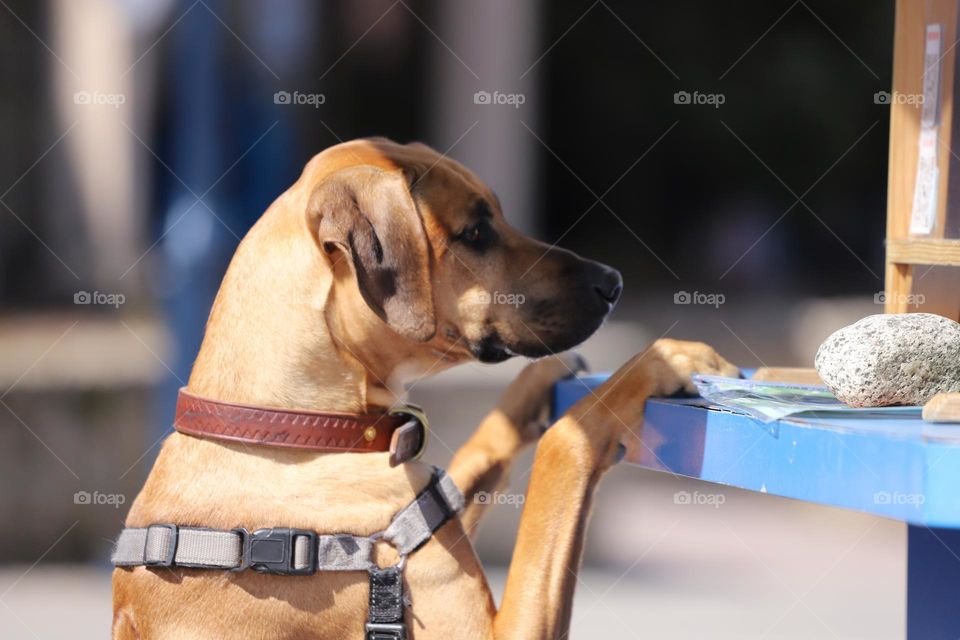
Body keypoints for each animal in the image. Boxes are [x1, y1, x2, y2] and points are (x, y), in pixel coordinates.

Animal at [112, 138, 736, 636]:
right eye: (475, 234)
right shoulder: (500, 629)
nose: (614, 283)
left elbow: (483, 450)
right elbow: (566, 444)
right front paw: (657, 361)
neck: (294, 431)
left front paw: (538, 388)